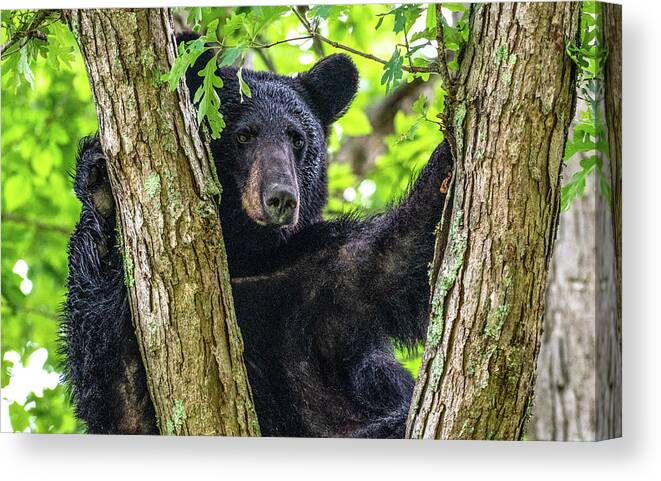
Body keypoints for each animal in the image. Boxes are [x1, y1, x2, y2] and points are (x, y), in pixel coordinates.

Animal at [60, 43, 454, 436]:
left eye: (297, 138)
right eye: (243, 135)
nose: (281, 197)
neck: (245, 257)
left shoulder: (329, 277)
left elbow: (401, 255)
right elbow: (120, 400)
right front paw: (98, 187)